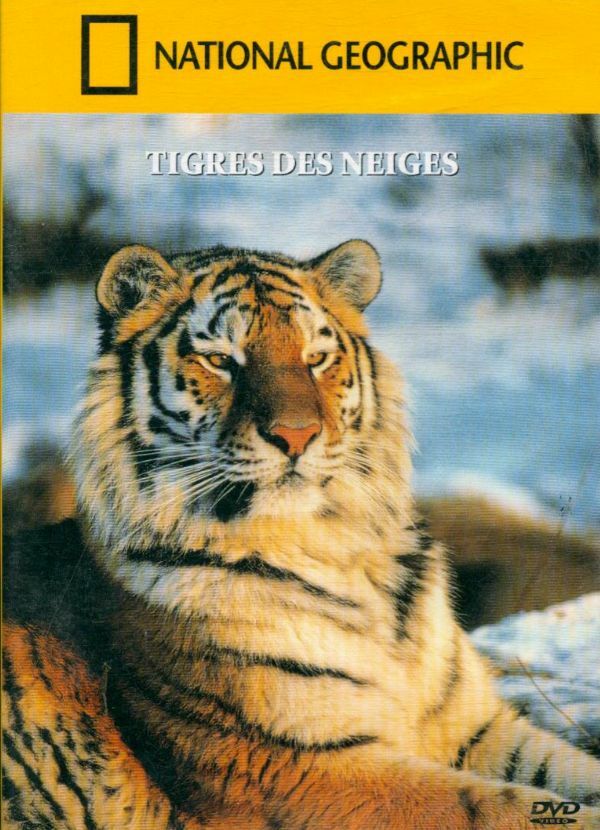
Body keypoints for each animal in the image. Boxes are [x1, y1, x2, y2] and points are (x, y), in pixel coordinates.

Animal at [3, 240, 600, 829]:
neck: (334, 547)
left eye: (316, 358)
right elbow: (493, 806)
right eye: (221, 360)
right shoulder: (294, 766)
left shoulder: (476, 725)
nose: (296, 435)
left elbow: (570, 773)